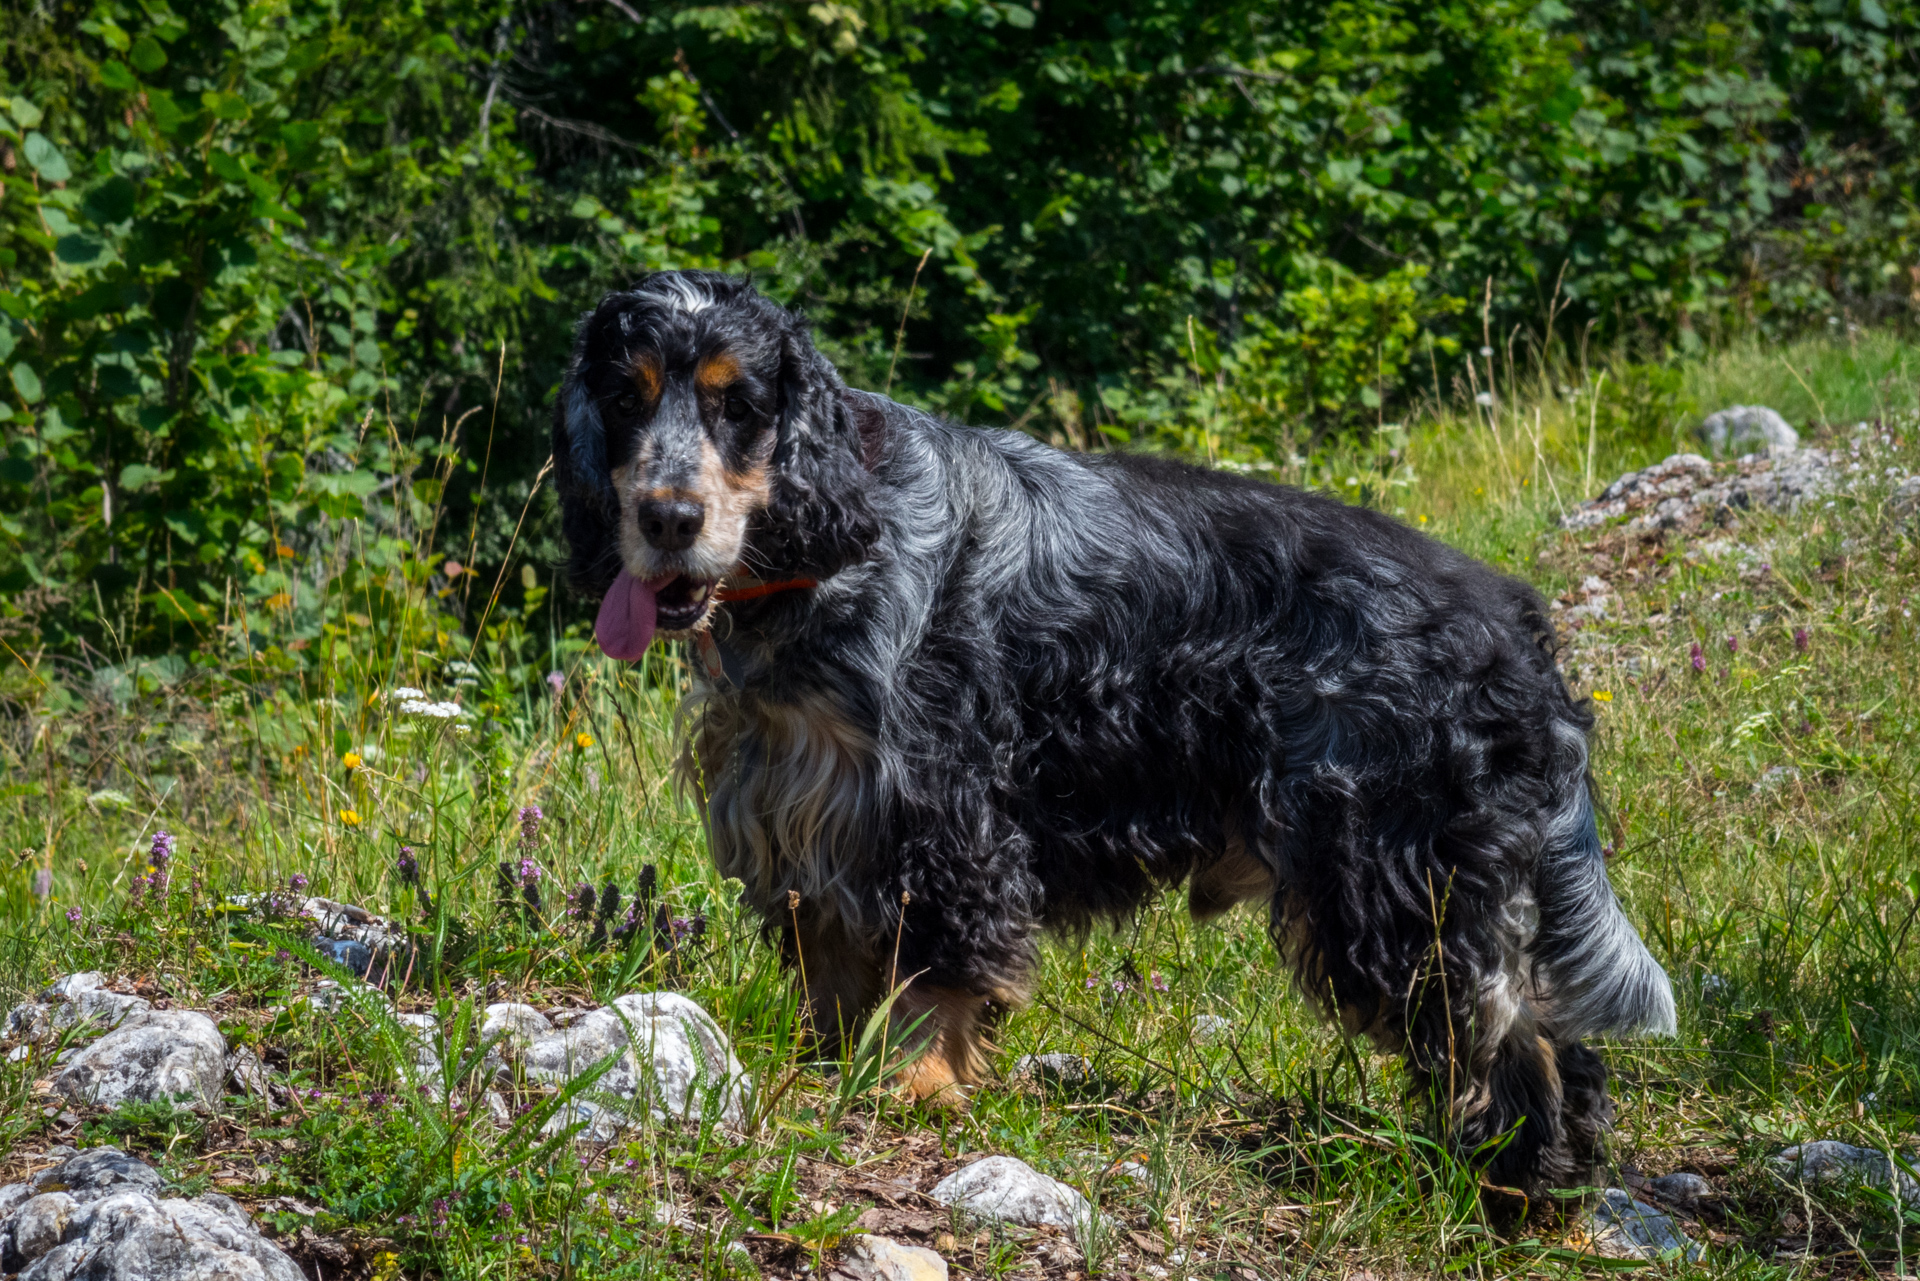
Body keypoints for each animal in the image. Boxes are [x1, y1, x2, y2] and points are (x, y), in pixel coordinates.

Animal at [549, 272, 1674, 1206]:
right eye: (627, 397)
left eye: (738, 404)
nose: (667, 517)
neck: (828, 554)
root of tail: (1516, 624)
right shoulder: (805, 807)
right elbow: (832, 965)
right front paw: (836, 1062)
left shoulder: (938, 808)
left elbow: (935, 965)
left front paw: (913, 1082)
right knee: (1545, 1034)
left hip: (1395, 876)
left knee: (1514, 1038)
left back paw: (1512, 1189)